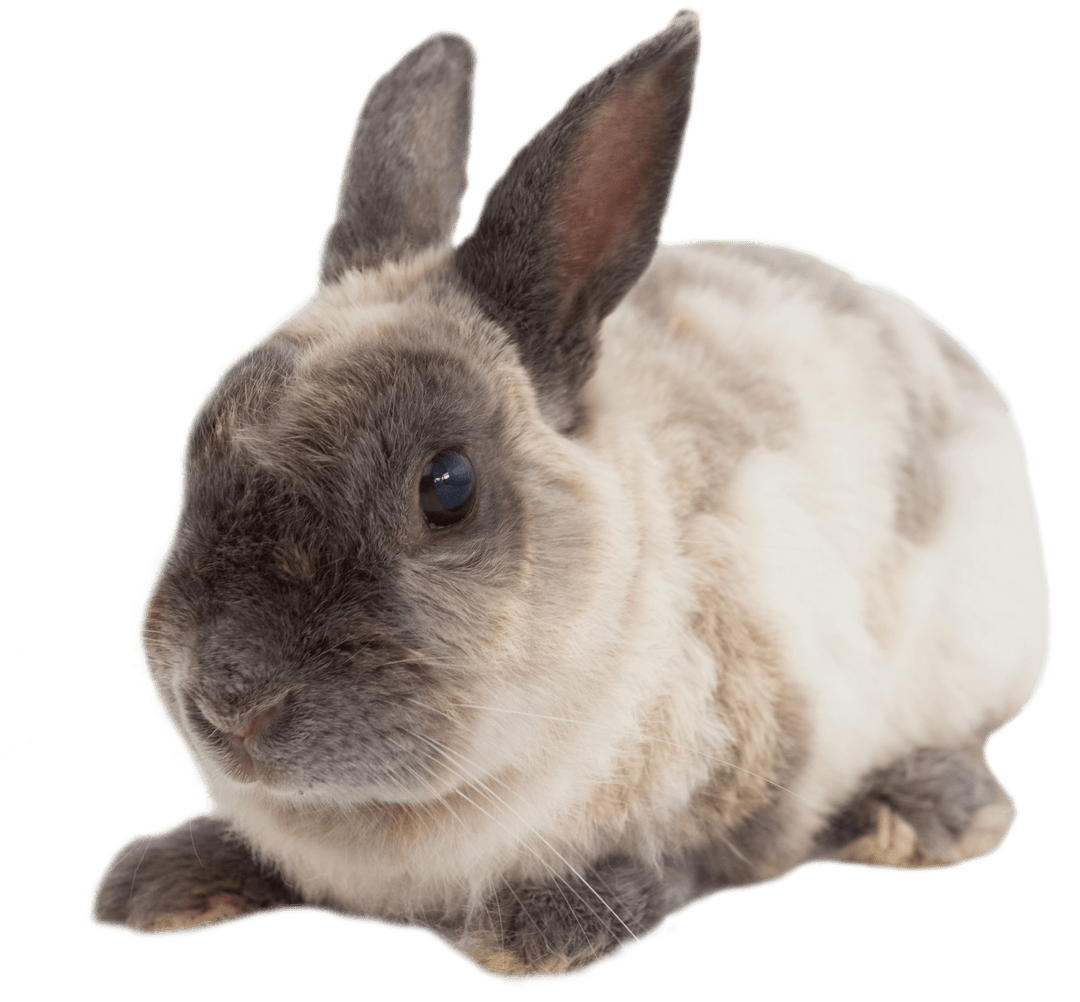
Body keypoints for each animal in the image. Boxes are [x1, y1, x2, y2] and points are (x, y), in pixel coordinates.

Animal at [86, 6, 1050, 984]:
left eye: (448, 486)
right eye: (197, 446)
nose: (232, 702)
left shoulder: (772, 756)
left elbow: (692, 856)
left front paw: (543, 933)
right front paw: (156, 884)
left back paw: (923, 811)